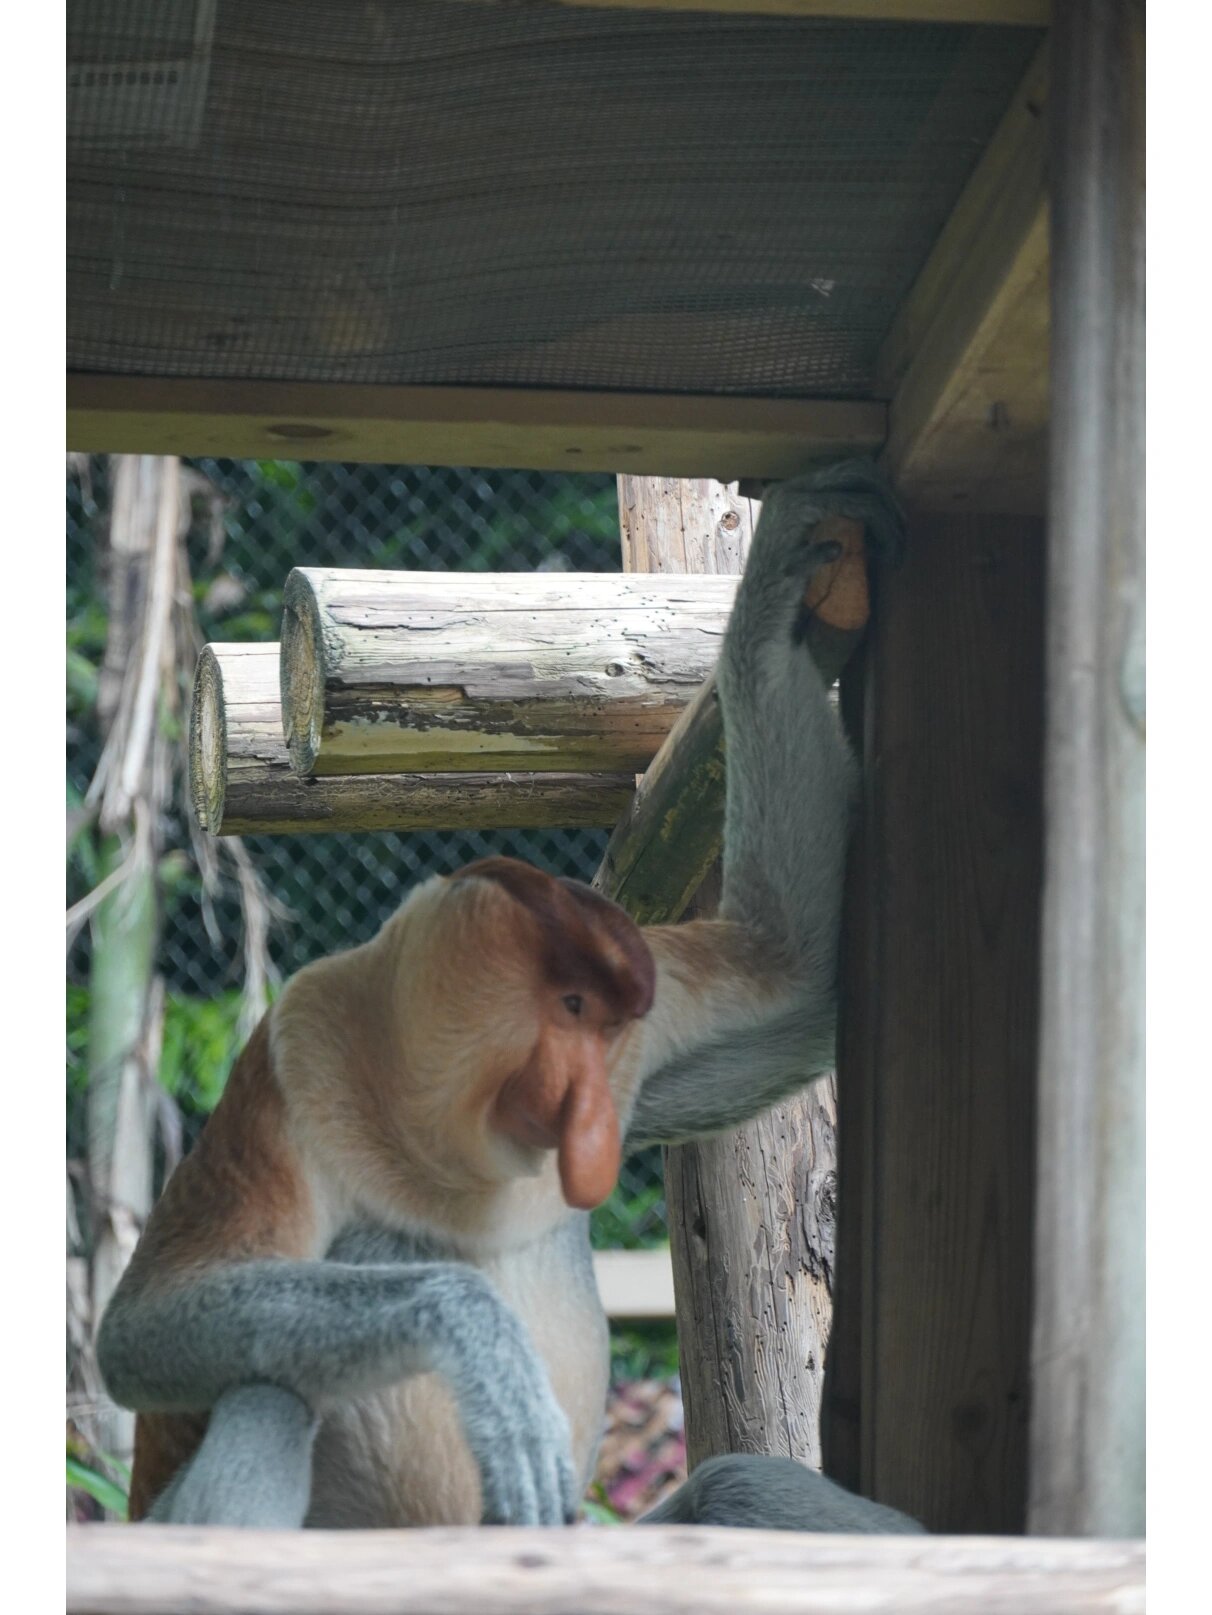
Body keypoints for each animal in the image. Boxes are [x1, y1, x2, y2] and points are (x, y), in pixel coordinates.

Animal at [99, 465, 904, 1524]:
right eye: (568, 1010)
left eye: (611, 1026)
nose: (588, 1109)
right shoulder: (292, 1059)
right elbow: (139, 1330)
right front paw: (478, 1342)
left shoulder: (654, 1014)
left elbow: (798, 974)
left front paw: (781, 569)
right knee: (269, 1394)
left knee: (734, 1483)